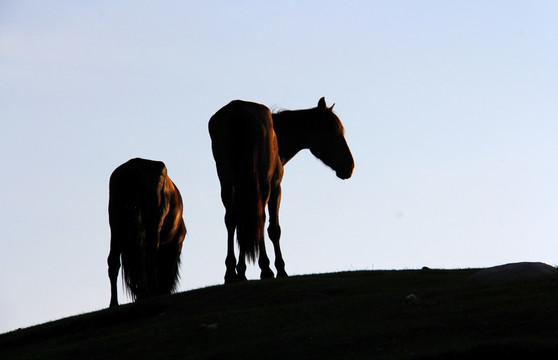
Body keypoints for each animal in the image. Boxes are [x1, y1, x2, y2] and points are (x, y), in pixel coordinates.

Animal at [107, 158, 188, 306]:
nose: (164, 291)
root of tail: (131, 169)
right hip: (152, 224)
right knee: (148, 257)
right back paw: (148, 293)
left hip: (115, 223)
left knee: (113, 261)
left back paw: (114, 303)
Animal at [210, 97, 354, 282]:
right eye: (334, 131)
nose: (350, 166)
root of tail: (238, 109)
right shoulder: (276, 187)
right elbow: (274, 229)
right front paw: (280, 269)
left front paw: (241, 271)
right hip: (263, 185)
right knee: (260, 219)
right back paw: (265, 268)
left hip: (228, 184)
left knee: (232, 219)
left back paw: (230, 272)